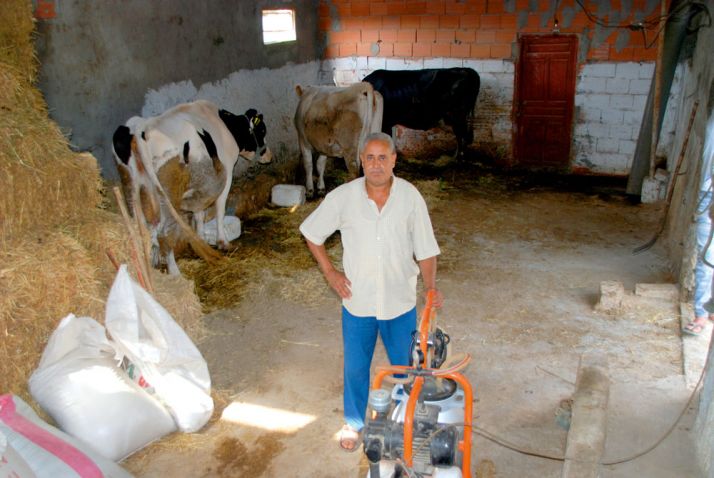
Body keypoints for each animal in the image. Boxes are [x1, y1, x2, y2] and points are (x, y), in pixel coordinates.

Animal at [112, 99, 272, 274]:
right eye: (262, 130)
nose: (269, 156)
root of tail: (140, 130)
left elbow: (199, 214)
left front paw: (201, 238)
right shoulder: (228, 171)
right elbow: (220, 209)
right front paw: (223, 242)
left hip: (131, 185)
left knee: (143, 229)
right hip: (168, 192)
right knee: (163, 232)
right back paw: (174, 272)